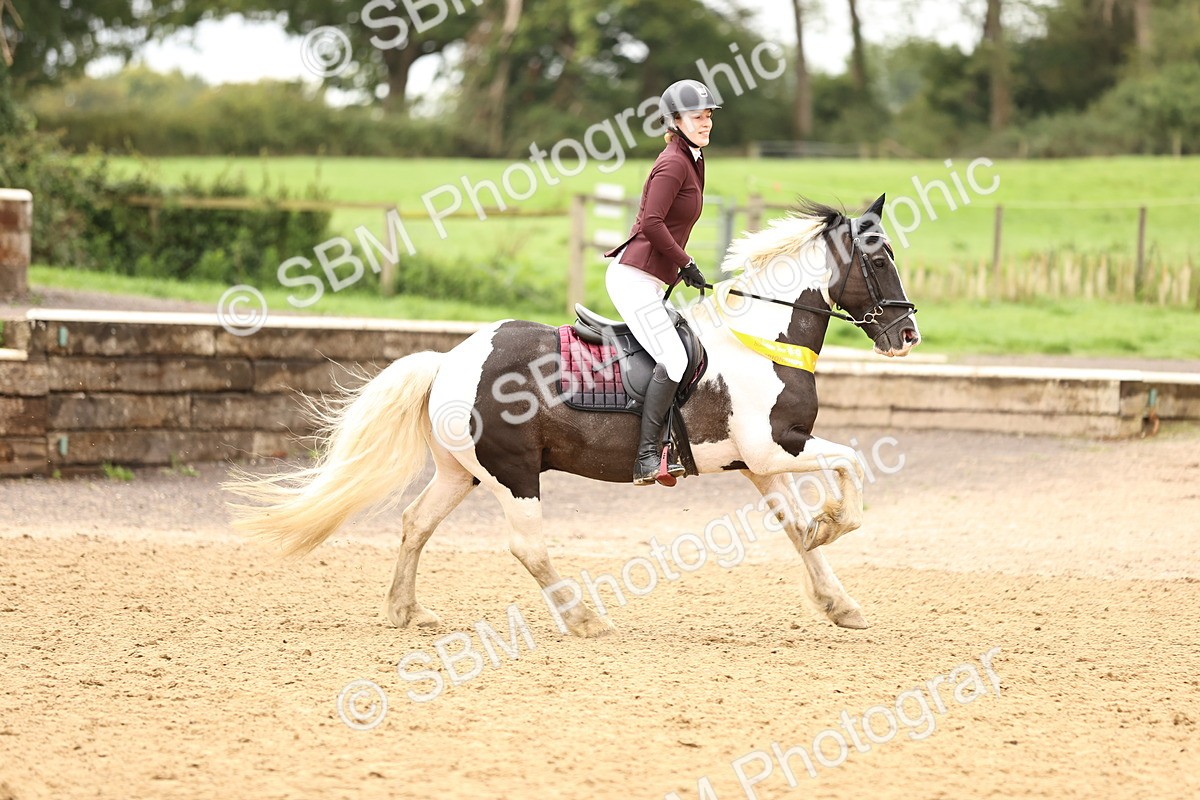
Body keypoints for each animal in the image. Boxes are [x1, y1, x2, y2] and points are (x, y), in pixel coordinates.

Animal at [225, 195, 921, 637]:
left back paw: (406, 611)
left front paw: (839, 603)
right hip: (513, 473)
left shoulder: (758, 462)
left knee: (415, 523)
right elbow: (850, 468)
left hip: (462, 472)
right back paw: (584, 618)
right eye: (880, 257)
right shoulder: (777, 446)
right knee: (528, 548)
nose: (908, 334)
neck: (763, 340)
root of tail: (450, 359)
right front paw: (836, 524)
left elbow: (796, 530)